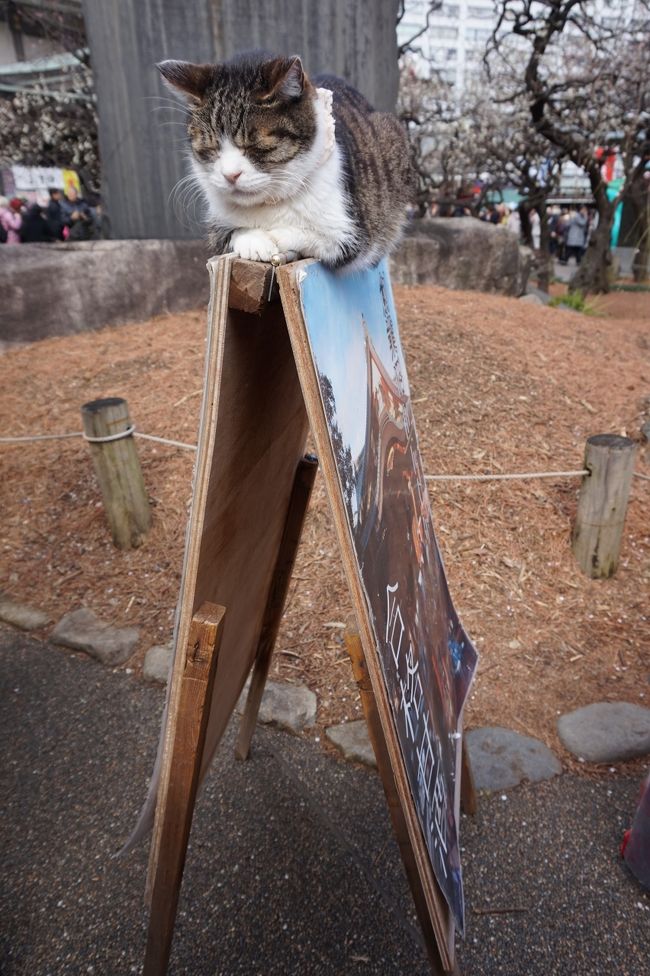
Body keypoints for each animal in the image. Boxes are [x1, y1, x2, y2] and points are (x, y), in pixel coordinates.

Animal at [157, 53, 412, 270]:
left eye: (255, 146)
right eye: (211, 148)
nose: (230, 175)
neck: (270, 205)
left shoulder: (349, 235)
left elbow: (311, 235)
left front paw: (275, 237)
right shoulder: (216, 229)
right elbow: (233, 233)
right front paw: (255, 242)